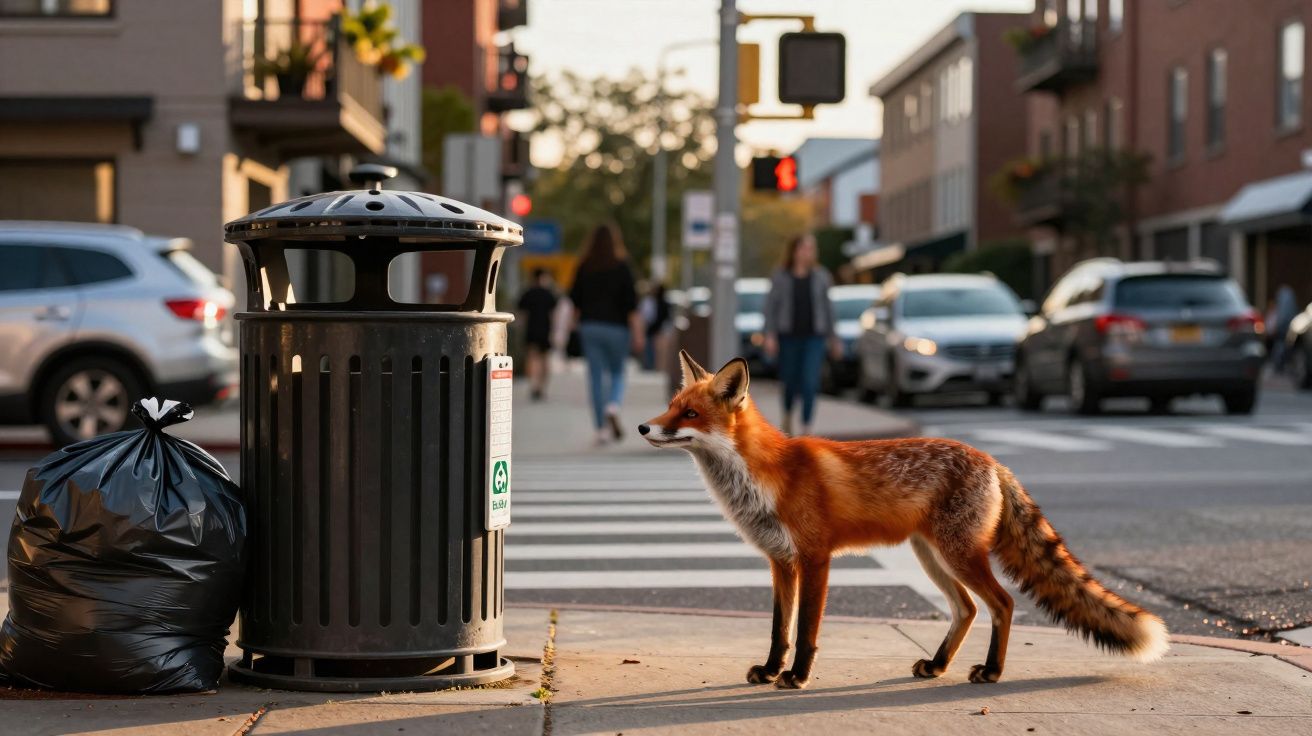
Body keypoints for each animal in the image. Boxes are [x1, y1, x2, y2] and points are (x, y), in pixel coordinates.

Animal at [638, 351, 1169, 689]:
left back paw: (991, 672)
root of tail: (993, 460)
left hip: (958, 555)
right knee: (967, 609)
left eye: (689, 413)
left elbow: (806, 632)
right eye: (669, 407)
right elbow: (778, 630)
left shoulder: (815, 559)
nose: (643, 426)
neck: (766, 477)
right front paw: (770, 671)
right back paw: (937, 665)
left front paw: (797, 677)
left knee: (1002, 604)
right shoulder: (780, 562)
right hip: (932, 557)